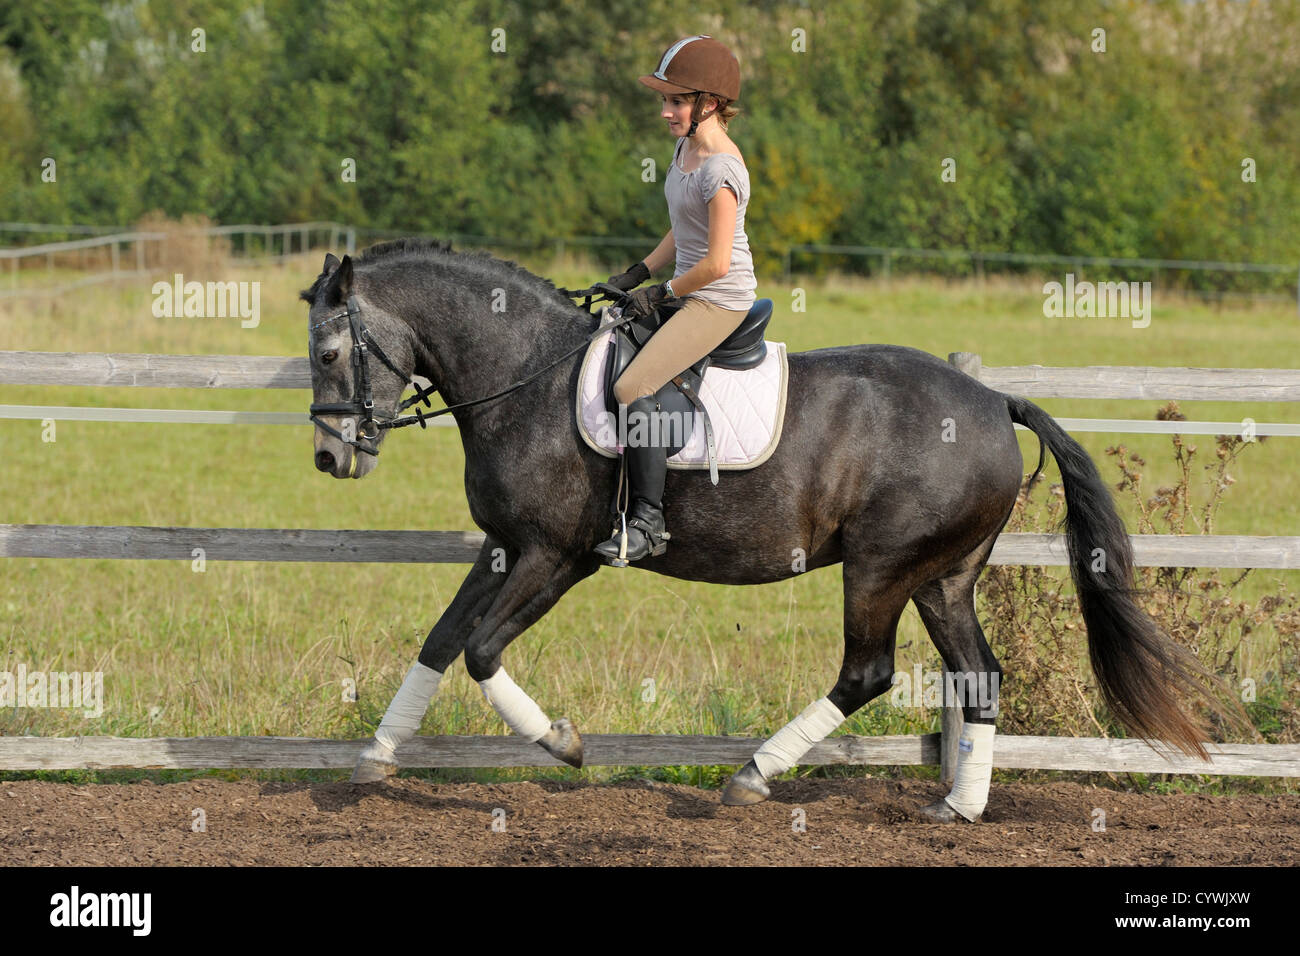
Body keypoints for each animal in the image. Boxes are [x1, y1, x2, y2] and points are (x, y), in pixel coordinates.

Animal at [301, 238, 1238, 823]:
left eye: (327, 354)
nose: (328, 457)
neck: (526, 376)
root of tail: (991, 401)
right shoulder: (506, 548)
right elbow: (440, 640)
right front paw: (376, 756)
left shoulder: (557, 555)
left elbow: (482, 649)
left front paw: (563, 743)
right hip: (942, 576)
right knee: (979, 675)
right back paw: (956, 807)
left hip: (881, 567)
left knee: (867, 672)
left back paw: (752, 776)